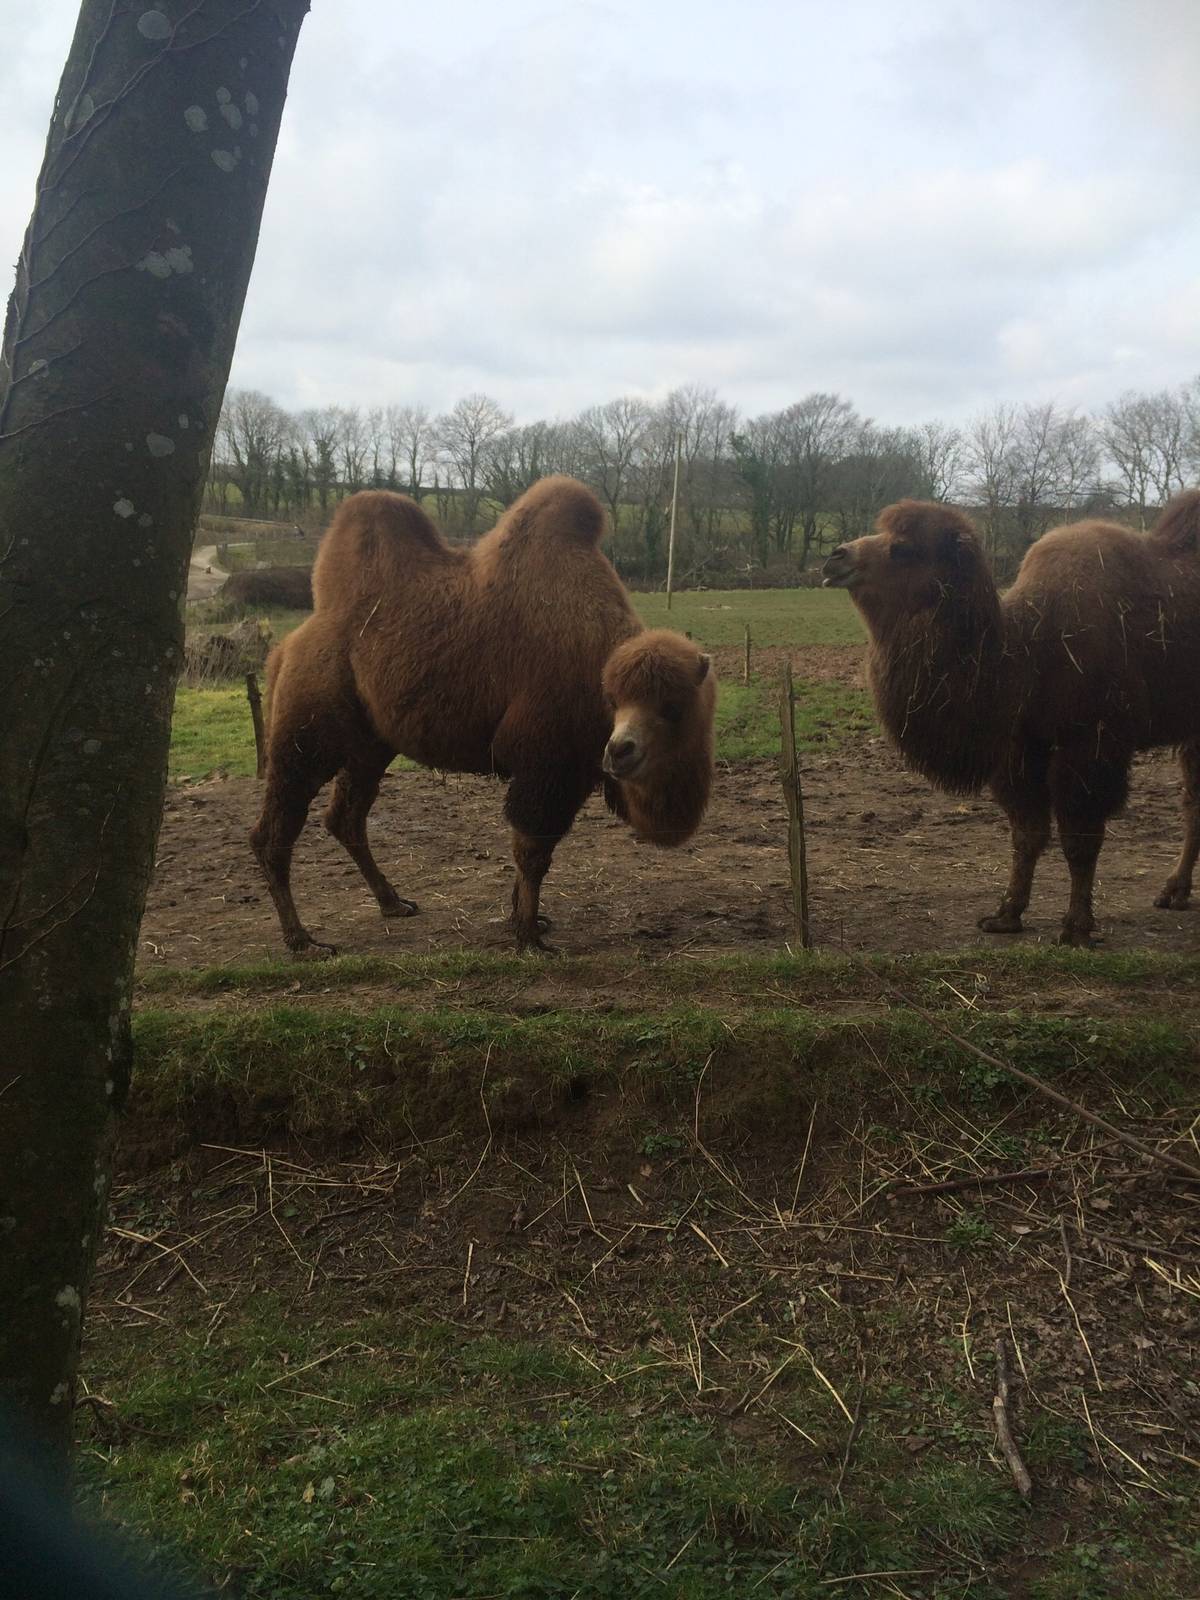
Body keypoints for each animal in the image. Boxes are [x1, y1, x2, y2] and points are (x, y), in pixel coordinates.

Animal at [250, 477, 716, 954]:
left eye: (673, 707)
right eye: (613, 700)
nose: (621, 751)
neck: (595, 661)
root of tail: (284, 649)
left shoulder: (571, 771)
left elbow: (533, 850)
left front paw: (525, 919)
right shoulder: (546, 764)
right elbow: (533, 851)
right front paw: (528, 936)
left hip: (370, 745)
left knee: (346, 817)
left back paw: (392, 902)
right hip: (307, 733)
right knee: (275, 828)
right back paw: (302, 940)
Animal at [822, 491, 1200, 946]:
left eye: (903, 548)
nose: (836, 557)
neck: (1027, 652)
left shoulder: (1090, 743)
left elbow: (1079, 838)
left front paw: (1077, 927)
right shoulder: (1021, 747)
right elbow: (1027, 834)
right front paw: (1006, 914)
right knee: (1194, 803)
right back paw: (1174, 892)